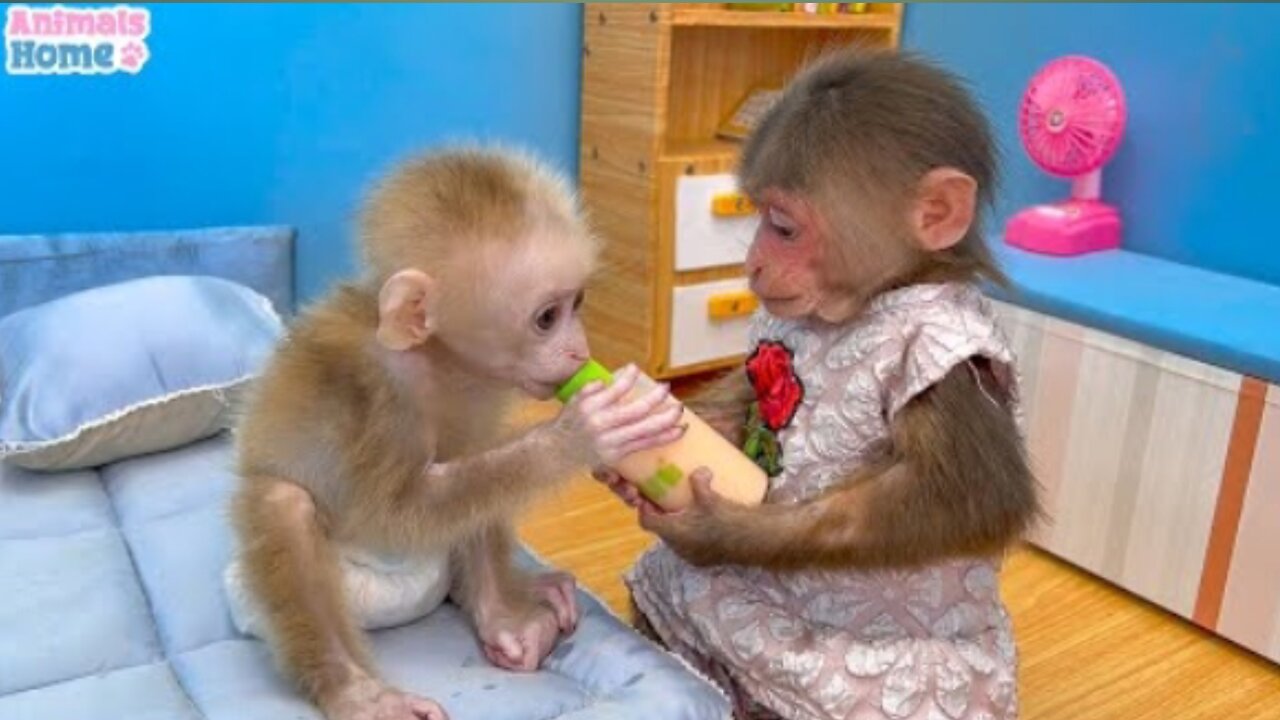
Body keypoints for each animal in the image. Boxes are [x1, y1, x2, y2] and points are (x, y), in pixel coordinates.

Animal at [230, 146, 691, 717]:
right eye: (547, 318)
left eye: (577, 304)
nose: (579, 352)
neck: (438, 357)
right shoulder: (378, 398)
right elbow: (395, 510)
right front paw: (580, 433)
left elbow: (472, 473)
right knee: (284, 505)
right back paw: (357, 691)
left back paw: (504, 616)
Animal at [604, 51, 1044, 717]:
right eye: (758, 216)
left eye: (783, 227)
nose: (753, 262)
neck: (876, 298)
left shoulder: (946, 360)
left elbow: (969, 496)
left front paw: (719, 528)